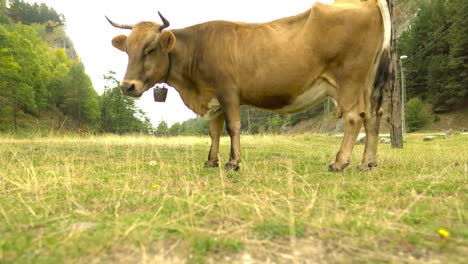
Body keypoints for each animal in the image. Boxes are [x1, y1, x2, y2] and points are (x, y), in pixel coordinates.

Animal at [106, 0, 392, 172]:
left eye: (150, 49)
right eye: (128, 49)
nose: (127, 86)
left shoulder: (228, 91)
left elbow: (233, 127)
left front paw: (233, 162)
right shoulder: (213, 99)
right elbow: (214, 132)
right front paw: (211, 161)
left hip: (349, 80)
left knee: (354, 117)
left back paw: (339, 162)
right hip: (368, 83)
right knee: (373, 116)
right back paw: (367, 163)